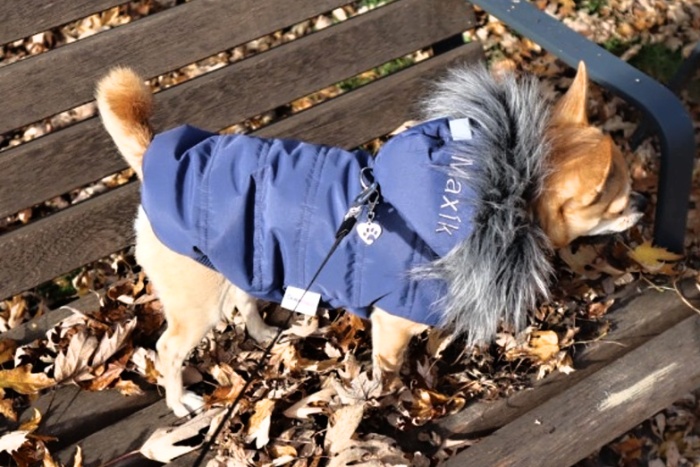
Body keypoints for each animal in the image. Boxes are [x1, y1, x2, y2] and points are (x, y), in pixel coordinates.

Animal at [95, 61, 644, 416]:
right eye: (616, 205)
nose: (642, 202)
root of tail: (155, 158)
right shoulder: (392, 324)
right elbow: (388, 367)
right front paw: (387, 400)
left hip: (242, 257)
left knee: (244, 299)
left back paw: (260, 332)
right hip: (196, 304)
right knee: (168, 350)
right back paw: (179, 400)